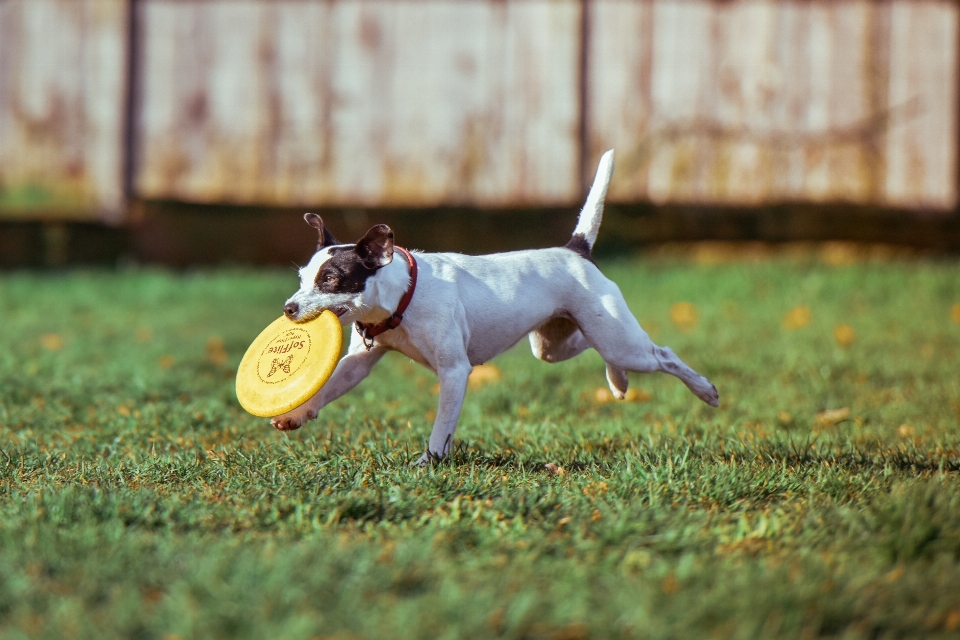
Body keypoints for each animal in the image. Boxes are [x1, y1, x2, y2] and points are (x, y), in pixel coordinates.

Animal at [274, 152, 716, 468]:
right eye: (301, 277)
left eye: (331, 279)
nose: (289, 308)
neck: (403, 297)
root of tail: (575, 250)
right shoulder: (359, 362)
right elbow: (330, 386)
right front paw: (297, 414)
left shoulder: (455, 372)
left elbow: (441, 427)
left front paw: (428, 462)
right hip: (555, 344)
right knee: (593, 348)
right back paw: (618, 381)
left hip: (622, 341)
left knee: (663, 355)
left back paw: (704, 390)